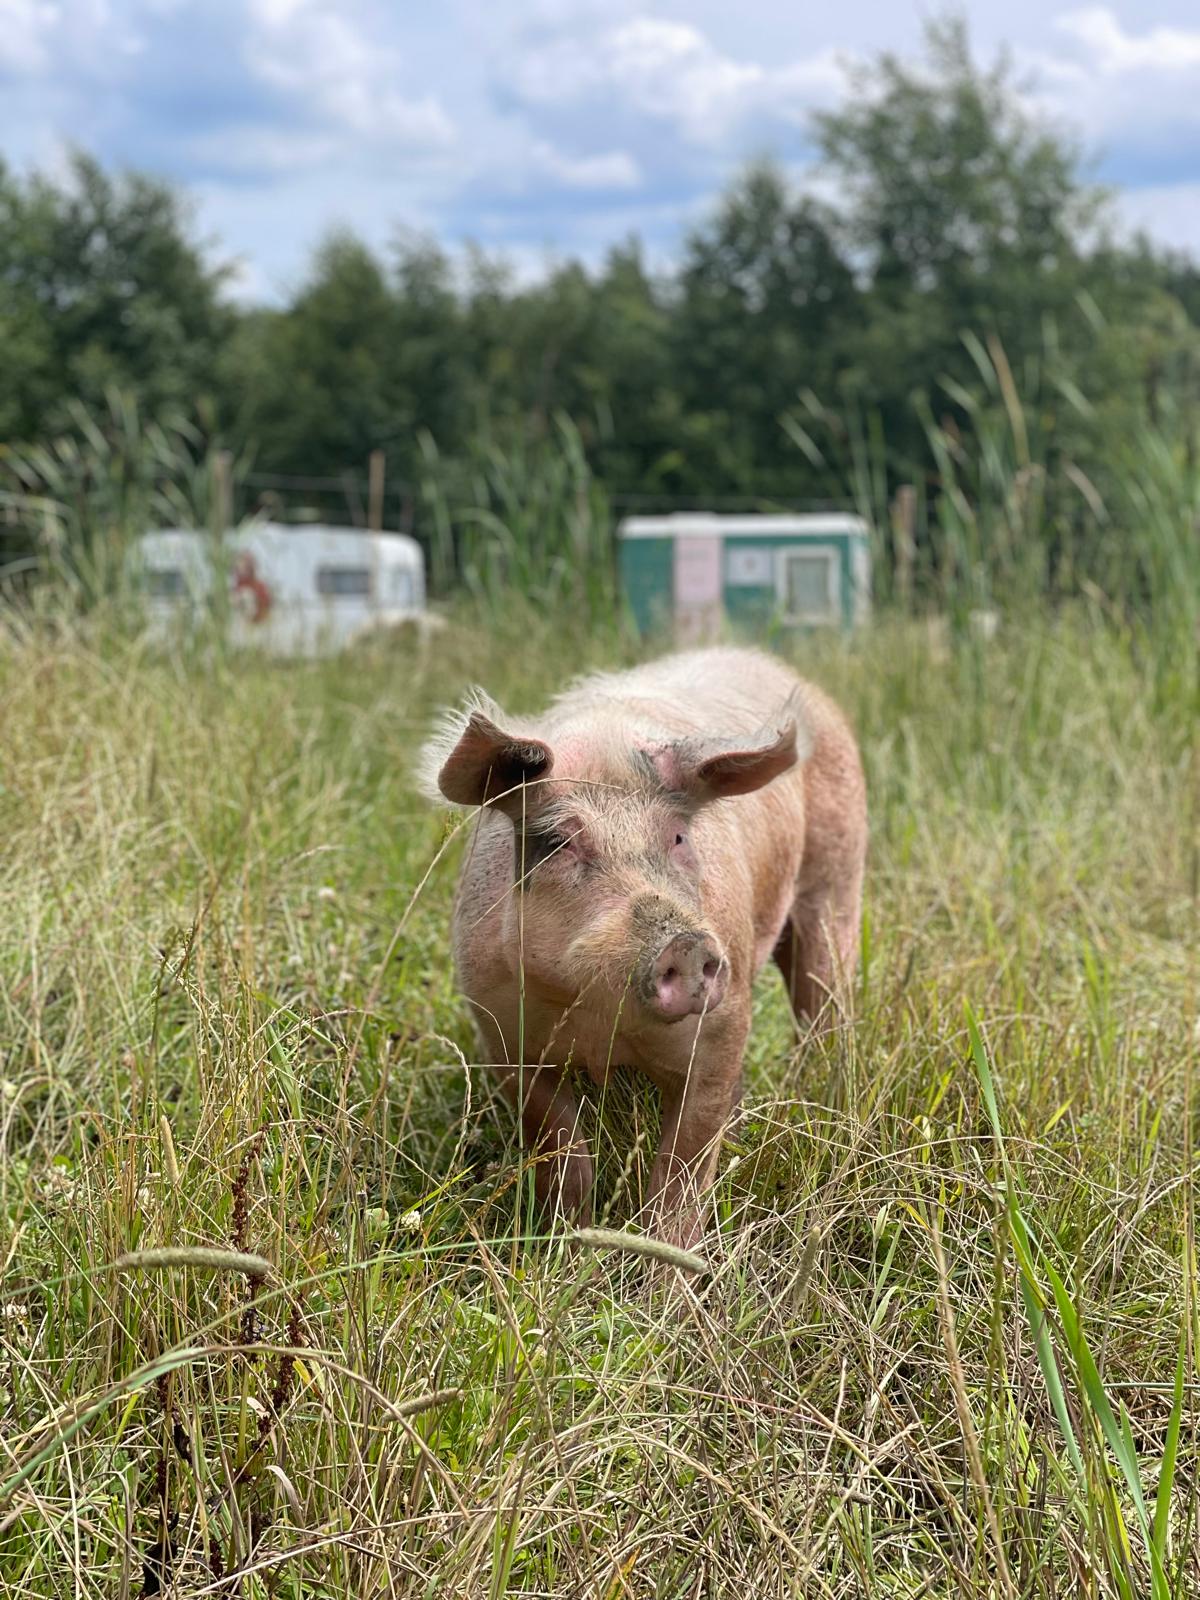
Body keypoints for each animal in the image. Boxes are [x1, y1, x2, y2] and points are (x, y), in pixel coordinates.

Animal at [419, 646, 867, 1249]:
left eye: (678, 837)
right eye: (558, 842)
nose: (685, 942)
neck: (603, 1024)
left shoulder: (722, 1030)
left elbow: (683, 1172)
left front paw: (663, 1269)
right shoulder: (502, 1035)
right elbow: (560, 1146)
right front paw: (566, 1242)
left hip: (838, 876)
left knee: (823, 999)